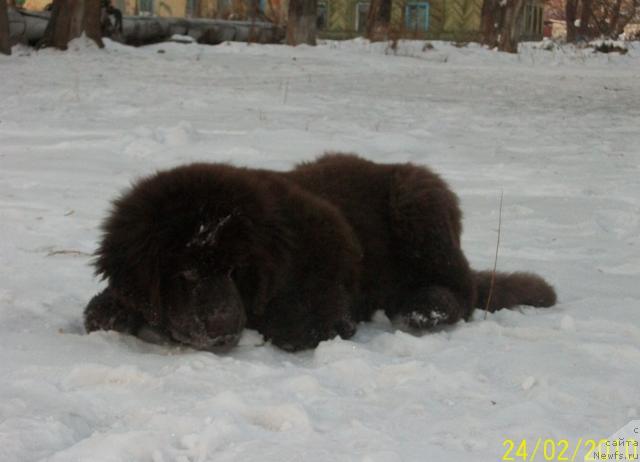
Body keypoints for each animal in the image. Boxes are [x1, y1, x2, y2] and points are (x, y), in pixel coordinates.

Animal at [85, 153, 556, 352]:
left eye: (236, 269)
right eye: (183, 274)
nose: (221, 321)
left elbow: (297, 322)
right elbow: (96, 312)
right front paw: (116, 311)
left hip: (418, 196)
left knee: (461, 292)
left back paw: (423, 307)